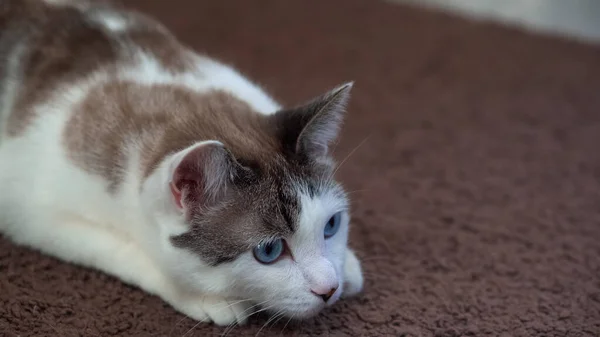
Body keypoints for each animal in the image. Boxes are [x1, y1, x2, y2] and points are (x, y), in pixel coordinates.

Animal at [0, 0, 364, 326]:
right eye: (270, 251)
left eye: (331, 225)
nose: (329, 289)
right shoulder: (35, 213)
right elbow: (128, 252)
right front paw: (206, 297)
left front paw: (346, 264)